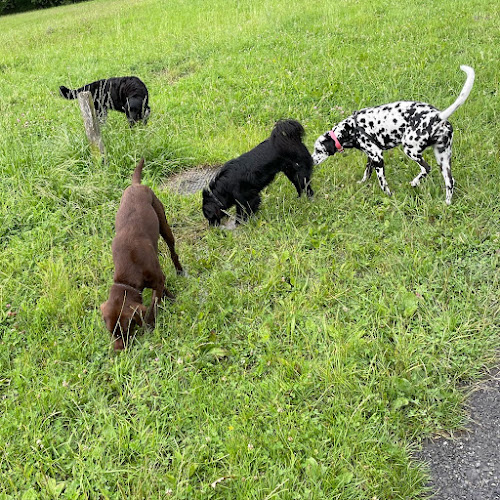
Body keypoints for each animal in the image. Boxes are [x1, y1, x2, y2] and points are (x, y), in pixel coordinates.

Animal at [99, 158, 184, 350]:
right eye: (111, 332)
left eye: (125, 330)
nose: (118, 352)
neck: (129, 273)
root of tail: (136, 185)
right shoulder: (158, 278)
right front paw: (169, 296)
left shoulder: (157, 279)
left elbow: (152, 306)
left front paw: (150, 325)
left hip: (164, 225)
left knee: (173, 251)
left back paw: (180, 269)